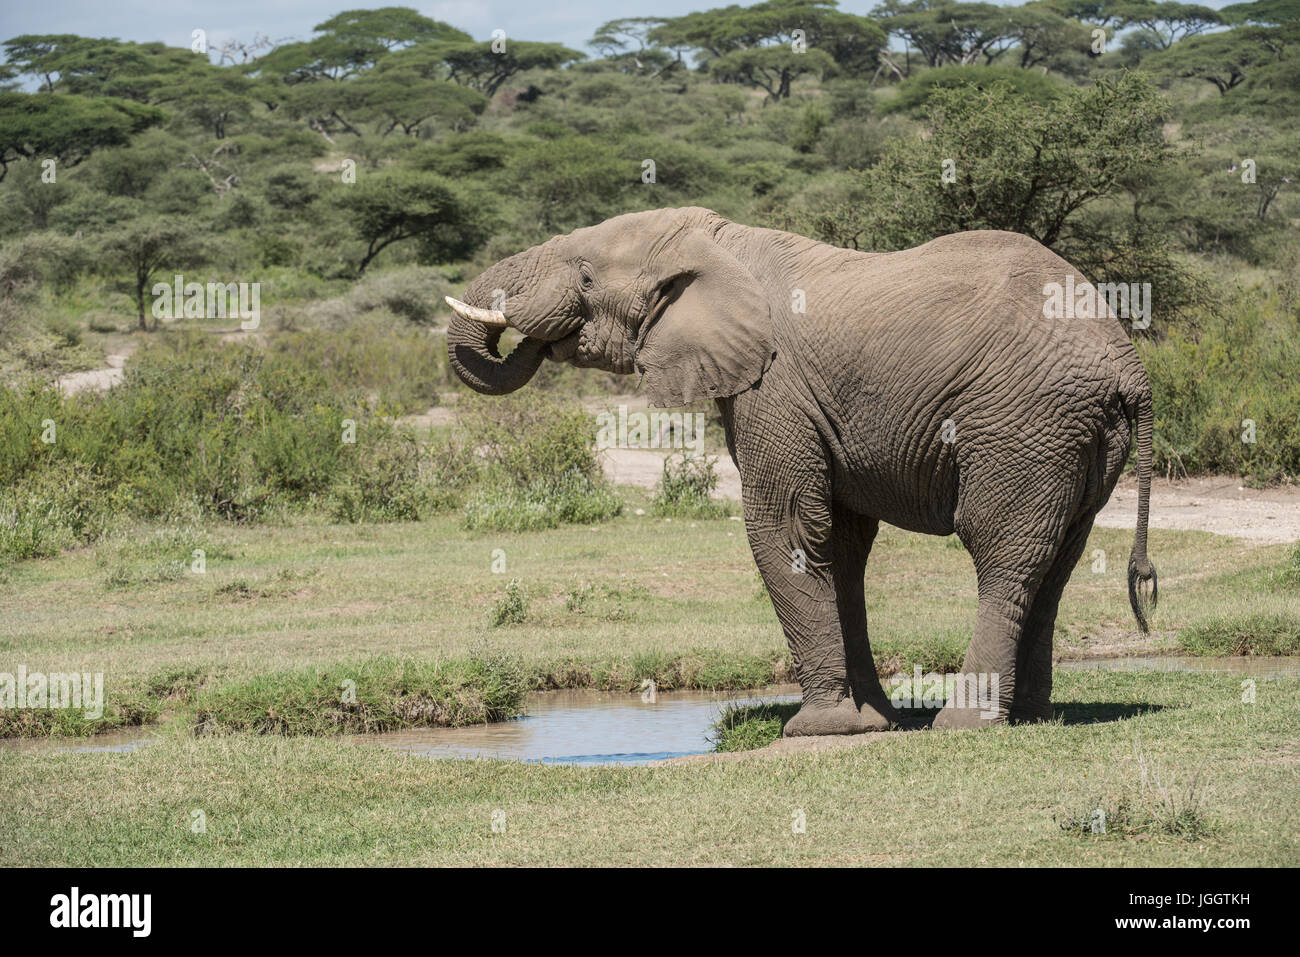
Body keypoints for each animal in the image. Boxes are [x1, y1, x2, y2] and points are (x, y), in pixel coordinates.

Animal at [444, 208, 1159, 733]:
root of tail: (1129, 364)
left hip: (1022, 424)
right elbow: (840, 544)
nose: (533, 336)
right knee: (1056, 561)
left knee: (1001, 553)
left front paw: (818, 729)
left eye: (588, 279)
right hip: (1078, 439)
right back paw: (1032, 718)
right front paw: (871, 721)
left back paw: (963, 725)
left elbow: (783, 530)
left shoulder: (774, 387)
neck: (719, 241)